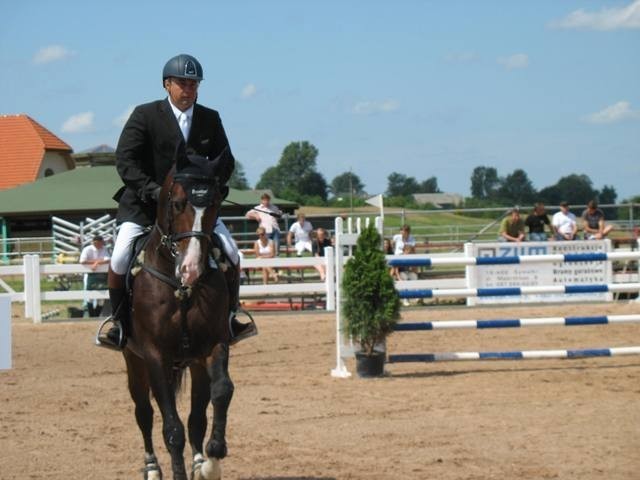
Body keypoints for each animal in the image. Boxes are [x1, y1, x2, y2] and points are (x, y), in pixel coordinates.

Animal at [121, 146, 234, 480]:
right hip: (134, 360)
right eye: (177, 203)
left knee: (197, 414)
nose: (191, 269)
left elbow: (222, 391)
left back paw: (198, 462)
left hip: (194, 362)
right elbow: (171, 427)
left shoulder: (214, 345)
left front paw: (212, 457)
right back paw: (152, 467)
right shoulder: (155, 355)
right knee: (144, 413)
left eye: (215, 203)